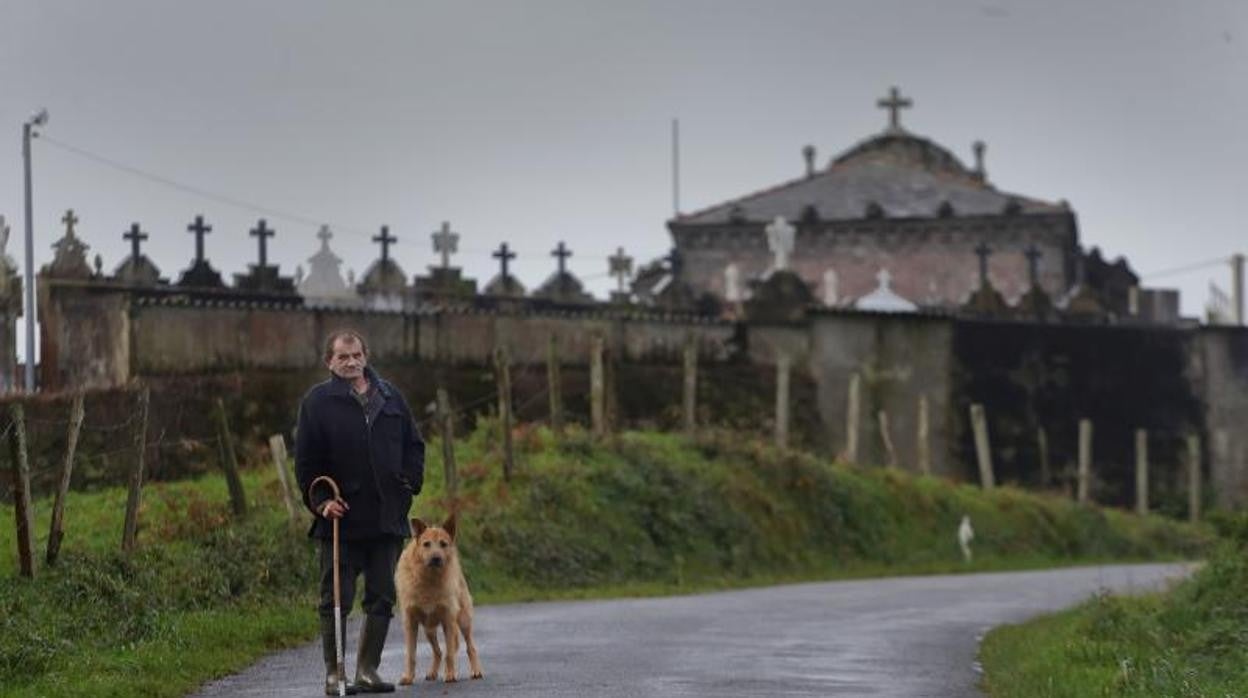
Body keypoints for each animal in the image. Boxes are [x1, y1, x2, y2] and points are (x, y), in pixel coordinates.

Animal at [394, 514, 481, 684]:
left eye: (443, 544)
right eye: (426, 544)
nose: (436, 558)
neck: (429, 580)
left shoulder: (448, 620)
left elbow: (450, 654)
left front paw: (450, 675)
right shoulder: (410, 623)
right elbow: (411, 655)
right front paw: (408, 677)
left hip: (463, 621)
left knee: (469, 647)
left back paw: (475, 671)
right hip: (429, 630)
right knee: (438, 652)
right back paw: (433, 672)